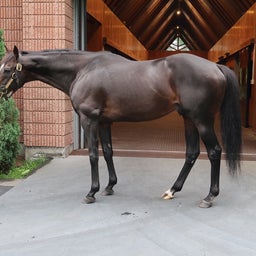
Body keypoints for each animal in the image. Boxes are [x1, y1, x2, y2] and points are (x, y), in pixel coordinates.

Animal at [0, 46, 241, 208]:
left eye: (8, 69)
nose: (0, 93)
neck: (83, 69)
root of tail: (215, 66)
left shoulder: (89, 119)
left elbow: (93, 155)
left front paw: (92, 192)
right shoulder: (104, 121)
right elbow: (108, 151)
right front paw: (109, 186)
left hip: (202, 120)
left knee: (214, 152)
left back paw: (209, 197)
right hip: (188, 118)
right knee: (191, 153)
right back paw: (172, 190)